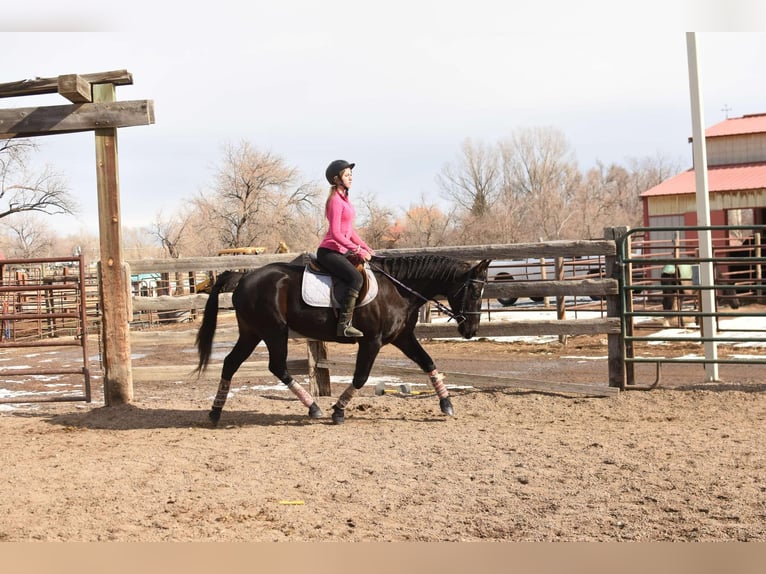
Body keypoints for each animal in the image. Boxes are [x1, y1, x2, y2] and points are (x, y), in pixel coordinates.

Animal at [195, 254, 491, 425]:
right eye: (474, 290)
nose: (472, 330)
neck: (398, 290)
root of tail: (244, 277)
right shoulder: (371, 342)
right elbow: (360, 377)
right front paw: (338, 410)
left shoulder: (403, 337)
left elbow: (428, 363)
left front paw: (447, 404)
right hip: (273, 331)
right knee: (276, 367)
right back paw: (314, 407)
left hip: (252, 333)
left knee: (230, 363)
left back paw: (215, 412)